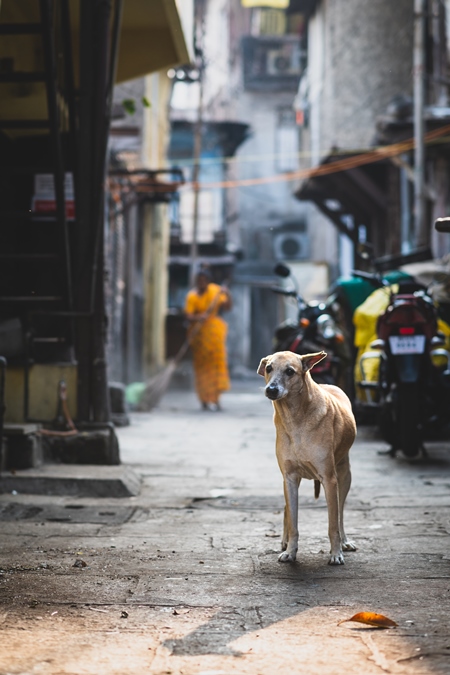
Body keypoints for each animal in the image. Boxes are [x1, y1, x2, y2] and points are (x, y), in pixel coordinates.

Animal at [258, 348, 356, 564]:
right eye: (269, 368)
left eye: (290, 371)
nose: (271, 390)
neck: (295, 419)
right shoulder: (289, 478)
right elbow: (293, 520)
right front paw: (290, 550)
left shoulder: (329, 479)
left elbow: (333, 523)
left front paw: (336, 553)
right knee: (287, 509)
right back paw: (284, 540)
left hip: (344, 474)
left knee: (341, 514)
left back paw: (345, 542)